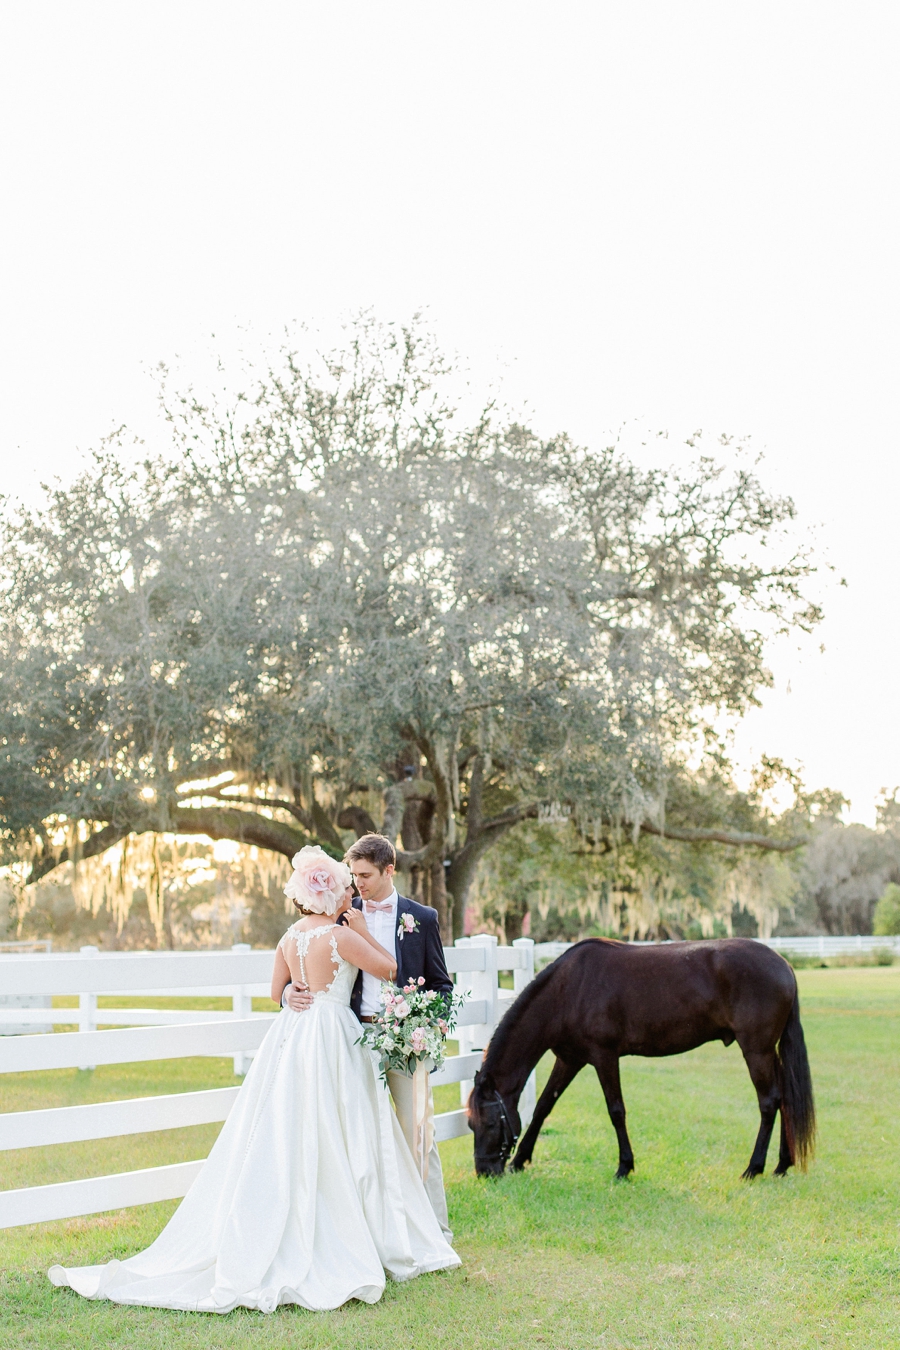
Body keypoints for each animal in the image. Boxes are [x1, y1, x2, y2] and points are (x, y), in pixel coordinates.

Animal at [472, 939, 814, 1182]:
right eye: (469, 1124)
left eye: (489, 1123)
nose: (484, 1172)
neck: (568, 990)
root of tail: (784, 965)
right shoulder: (570, 1060)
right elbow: (544, 1106)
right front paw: (520, 1160)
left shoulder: (604, 1057)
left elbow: (616, 1111)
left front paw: (624, 1167)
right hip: (768, 1052)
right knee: (786, 1099)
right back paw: (782, 1164)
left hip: (756, 1050)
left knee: (769, 1102)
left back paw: (754, 1168)